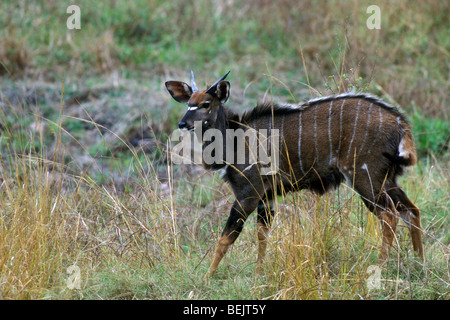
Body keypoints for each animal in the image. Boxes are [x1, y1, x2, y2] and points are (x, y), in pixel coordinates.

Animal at [164, 71, 422, 276]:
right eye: (189, 102)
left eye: (206, 103)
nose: (182, 124)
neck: (234, 141)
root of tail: (400, 124)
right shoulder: (266, 197)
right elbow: (262, 234)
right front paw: (259, 272)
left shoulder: (247, 194)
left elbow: (226, 238)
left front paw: (206, 277)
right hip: (387, 179)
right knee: (411, 210)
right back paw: (420, 262)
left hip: (364, 178)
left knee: (389, 215)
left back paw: (380, 267)